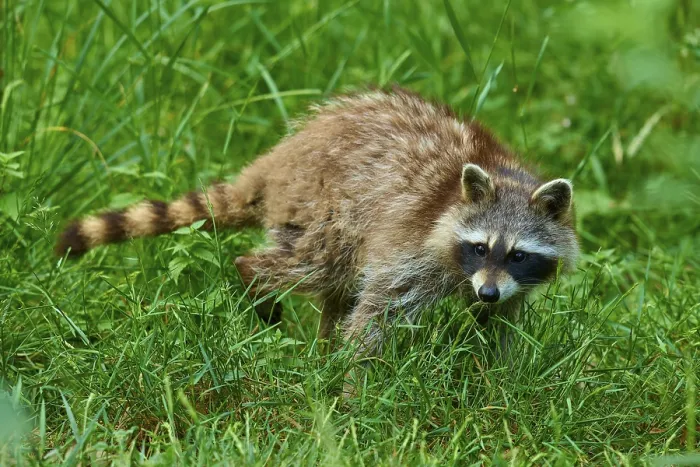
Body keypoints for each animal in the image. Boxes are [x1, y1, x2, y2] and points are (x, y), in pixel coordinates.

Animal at [56, 87, 579, 357]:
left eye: (518, 254)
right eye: (480, 246)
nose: (486, 291)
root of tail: (280, 160)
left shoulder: (506, 282)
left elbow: (499, 324)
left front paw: (495, 369)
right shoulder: (414, 246)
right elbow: (377, 312)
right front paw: (355, 389)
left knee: (337, 286)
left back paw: (323, 343)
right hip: (325, 207)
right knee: (315, 265)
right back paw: (258, 282)